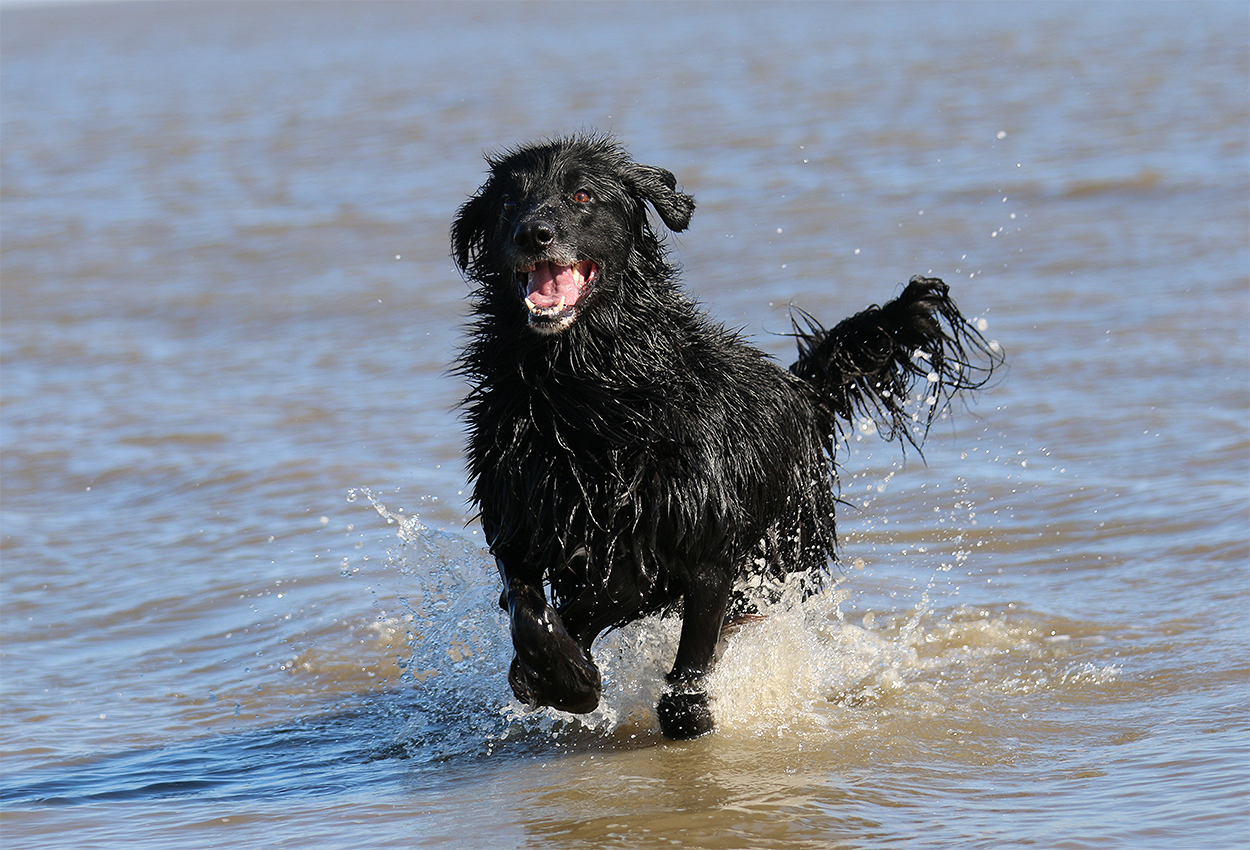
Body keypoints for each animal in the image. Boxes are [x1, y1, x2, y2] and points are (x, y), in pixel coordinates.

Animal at [451, 134, 999, 739]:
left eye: (582, 195)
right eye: (508, 203)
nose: (534, 233)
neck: (585, 391)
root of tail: (800, 388)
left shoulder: (705, 547)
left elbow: (667, 652)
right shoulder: (517, 517)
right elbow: (532, 611)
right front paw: (562, 676)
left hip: (784, 558)